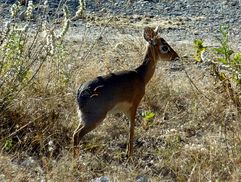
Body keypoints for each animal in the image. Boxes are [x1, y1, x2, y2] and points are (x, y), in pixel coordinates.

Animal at [73, 26, 179, 157]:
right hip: (95, 117)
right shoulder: (133, 106)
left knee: (75, 133)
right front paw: (129, 154)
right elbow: (131, 128)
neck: (140, 75)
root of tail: (80, 93)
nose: (176, 56)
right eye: (164, 47)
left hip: (83, 118)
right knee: (77, 135)